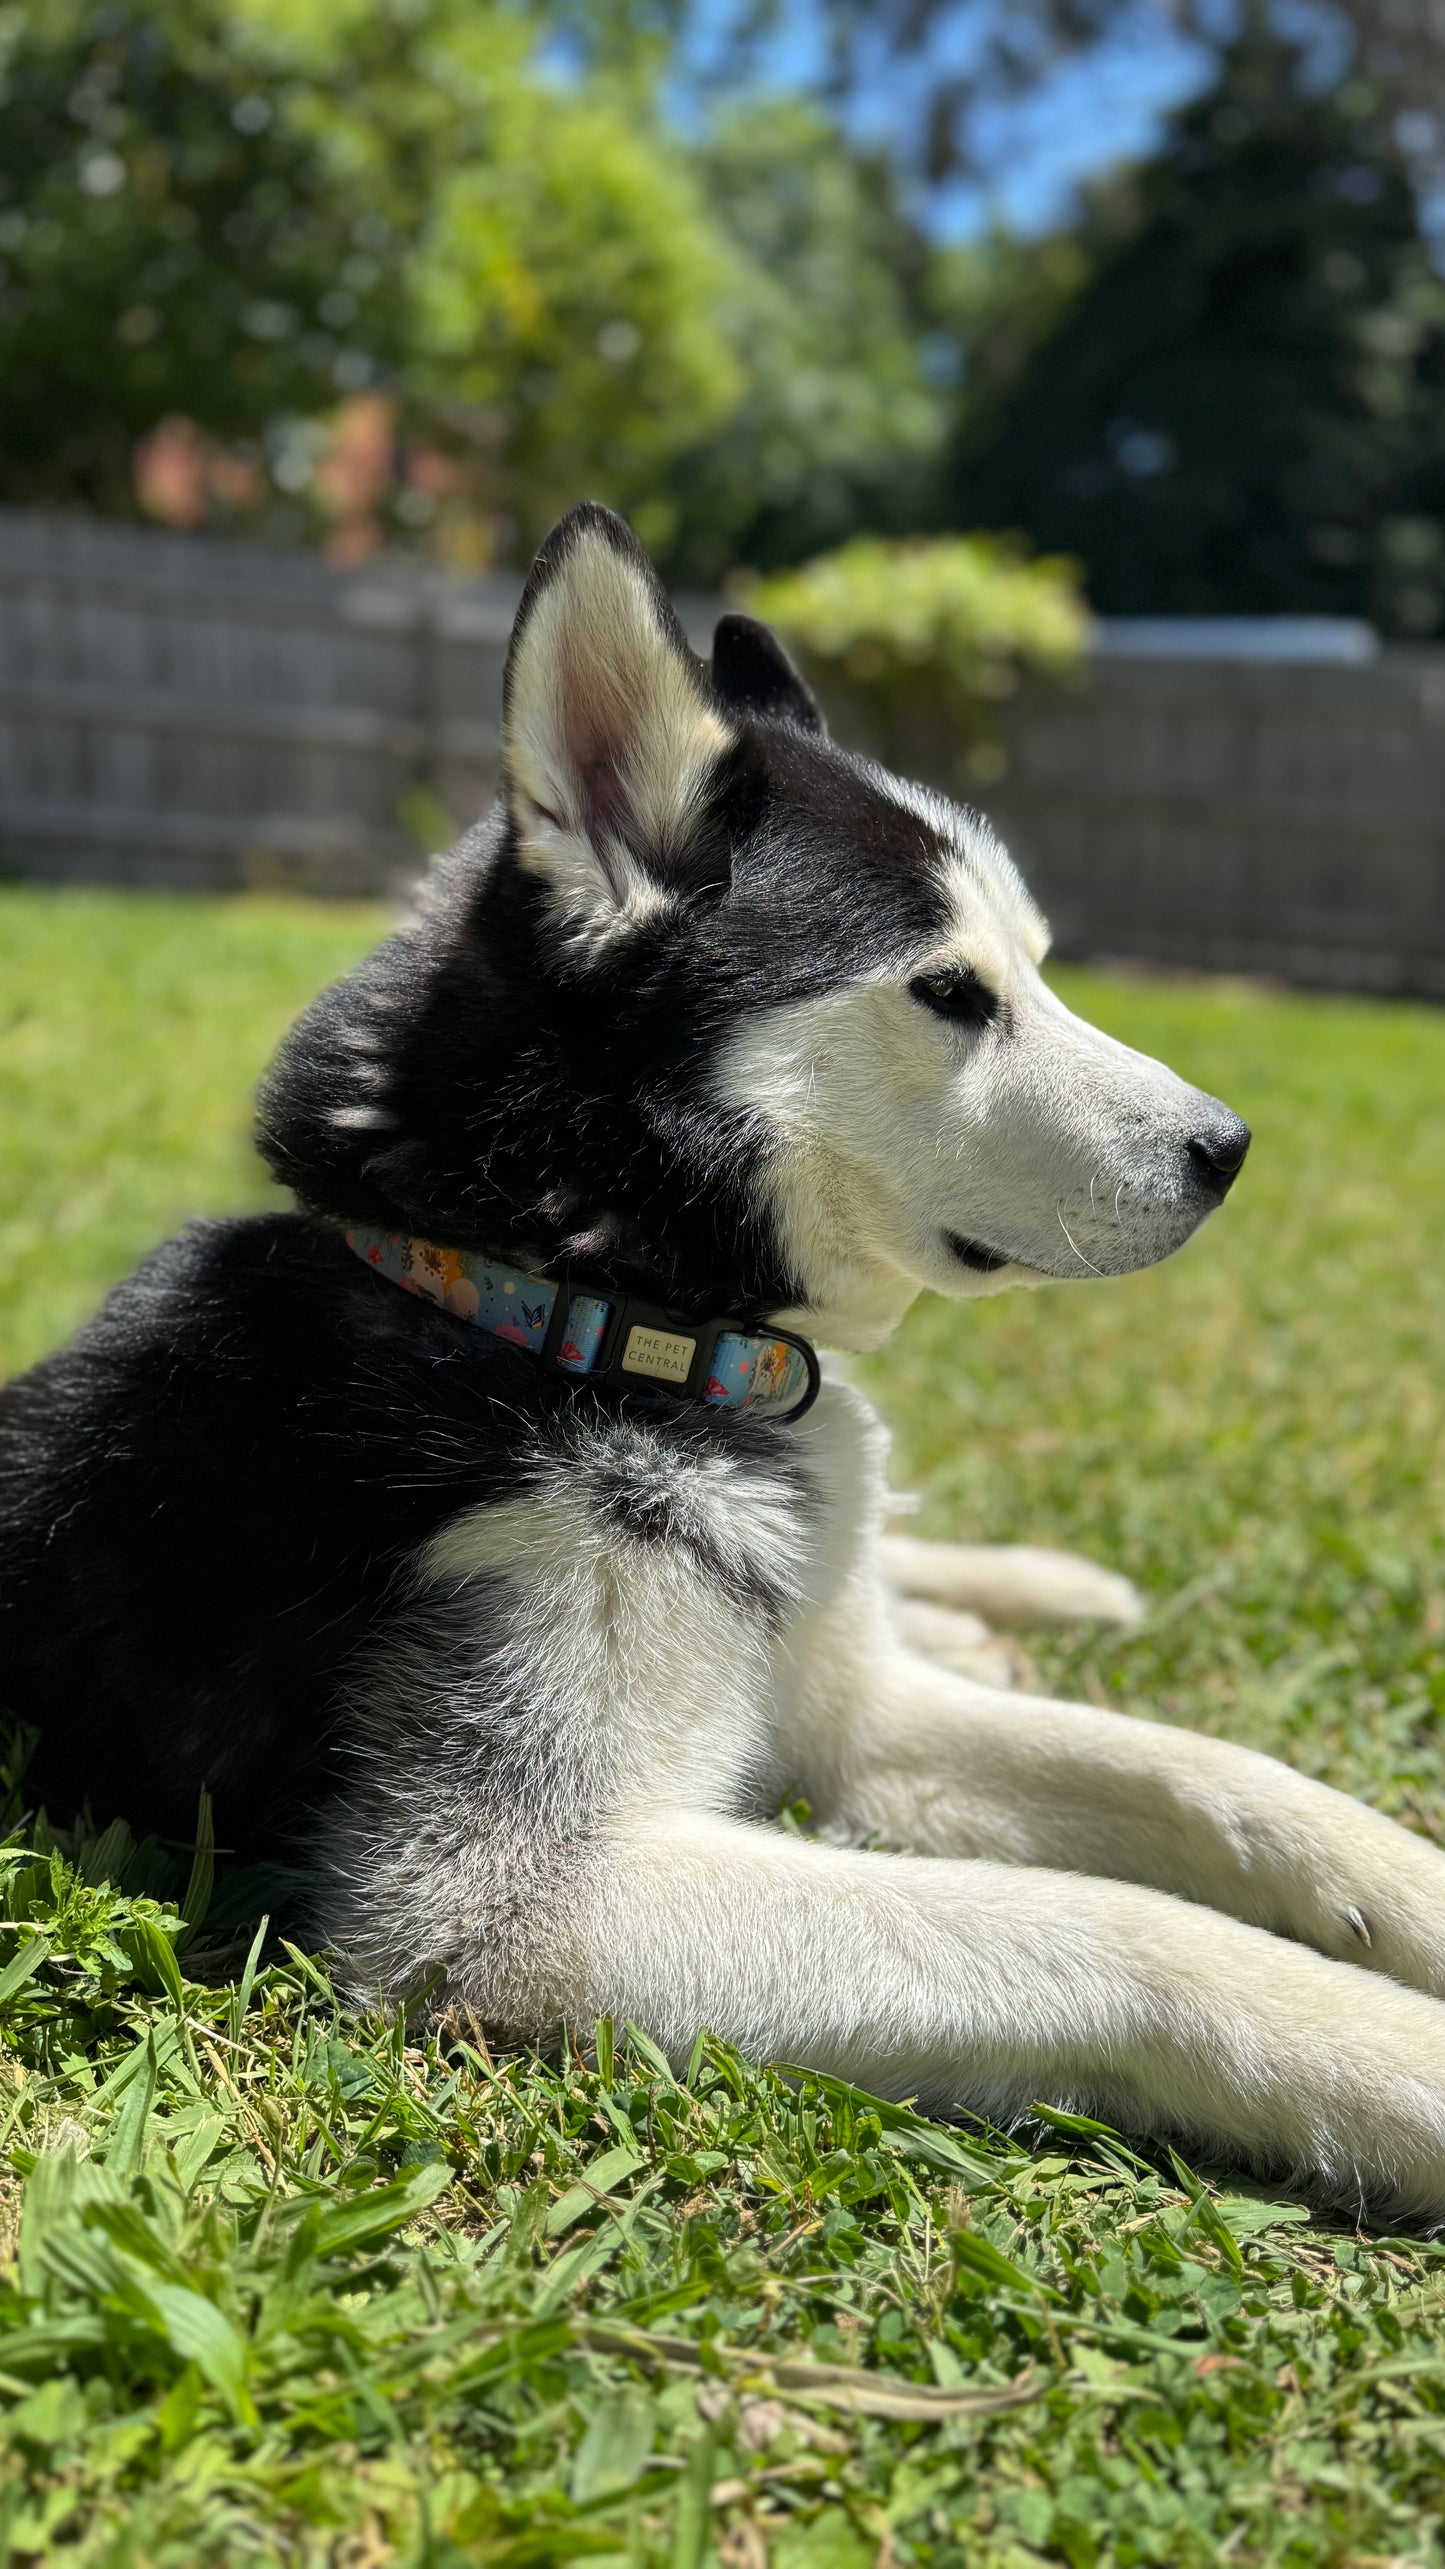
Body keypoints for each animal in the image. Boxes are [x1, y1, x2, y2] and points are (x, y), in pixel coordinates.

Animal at [2, 506, 1439, 2229]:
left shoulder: (855, 1713)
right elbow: (1103, 1920)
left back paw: (1028, 1591)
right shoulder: (513, 1901)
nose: (1227, 1151)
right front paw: (1395, 2054)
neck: (580, 1314)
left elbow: (1215, 1775)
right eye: (952, 994)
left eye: (1036, 966)